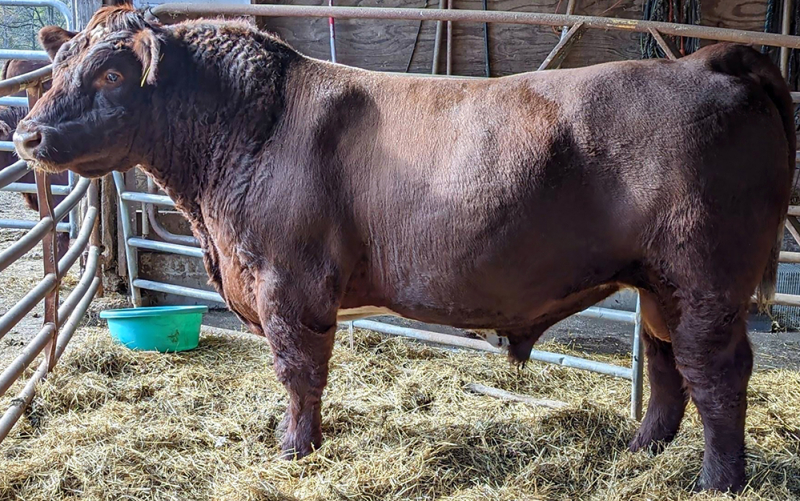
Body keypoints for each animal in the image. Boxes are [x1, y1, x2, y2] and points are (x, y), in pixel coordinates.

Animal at [12, 6, 794, 493]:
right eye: (60, 66)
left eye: (112, 73)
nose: (26, 134)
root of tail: (711, 59)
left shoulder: (288, 284)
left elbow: (298, 371)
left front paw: (295, 448)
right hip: (660, 282)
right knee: (667, 367)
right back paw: (640, 452)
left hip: (706, 278)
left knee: (716, 372)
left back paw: (717, 482)